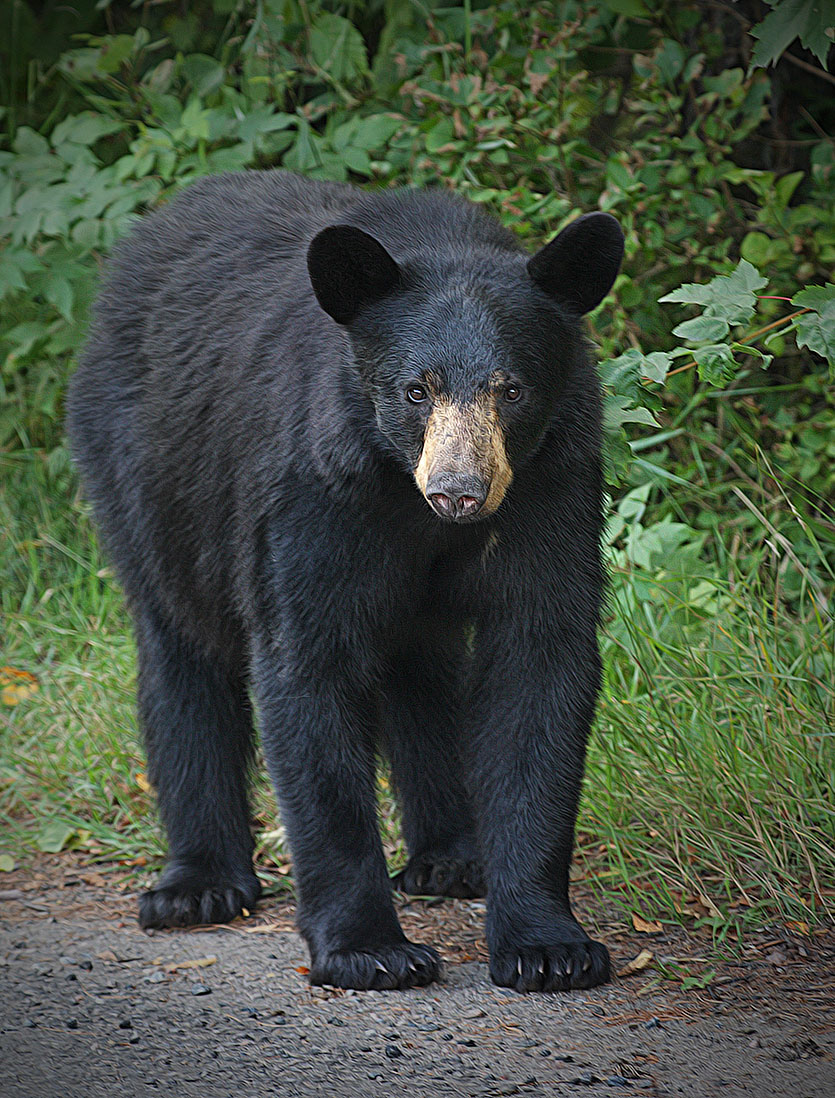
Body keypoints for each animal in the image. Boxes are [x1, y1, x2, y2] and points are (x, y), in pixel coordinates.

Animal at [68, 169, 624, 996]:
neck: (410, 502)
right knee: (181, 650)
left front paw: (549, 945)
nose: (459, 492)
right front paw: (370, 950)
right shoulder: (315, 493)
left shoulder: (549, 493)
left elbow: (539, 667)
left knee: (423, 672)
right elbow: (308, 672)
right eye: (415, 390)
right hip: (151, 476)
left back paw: (451, 857)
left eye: (512, 390)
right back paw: (197, 883)